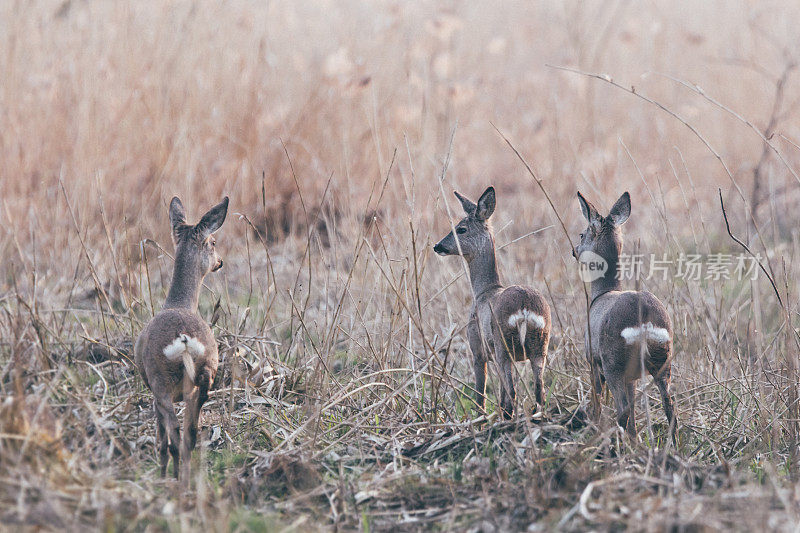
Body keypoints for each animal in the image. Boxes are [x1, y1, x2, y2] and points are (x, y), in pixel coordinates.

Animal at [134, 195, 228, 478]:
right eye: (214, 242)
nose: (220, 262)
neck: (177, 303)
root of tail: (184, 340)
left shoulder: (155, 392)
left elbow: (161, 435)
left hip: (160, 379)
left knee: (173, 432)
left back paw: (173, 477)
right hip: (206, 372)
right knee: (191, 431)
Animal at [434, 185, 552, 418]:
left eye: (461, 229)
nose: (438, 246)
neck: (483, 291)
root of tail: (525, 310)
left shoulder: (477, 348)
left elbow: (481, 393)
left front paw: (479, 417)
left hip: (503, 346)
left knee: (512, 394)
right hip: (539, 347)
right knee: (538, 391)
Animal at [572, 191, 680, 440]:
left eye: (582, 233)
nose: (574, 249)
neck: (602, 293)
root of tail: (645, 321)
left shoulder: (592, 359)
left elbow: (598, 399)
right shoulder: (632, 376)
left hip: (613, 363)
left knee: (621, 411)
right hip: (663, 361)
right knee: (670, 408)